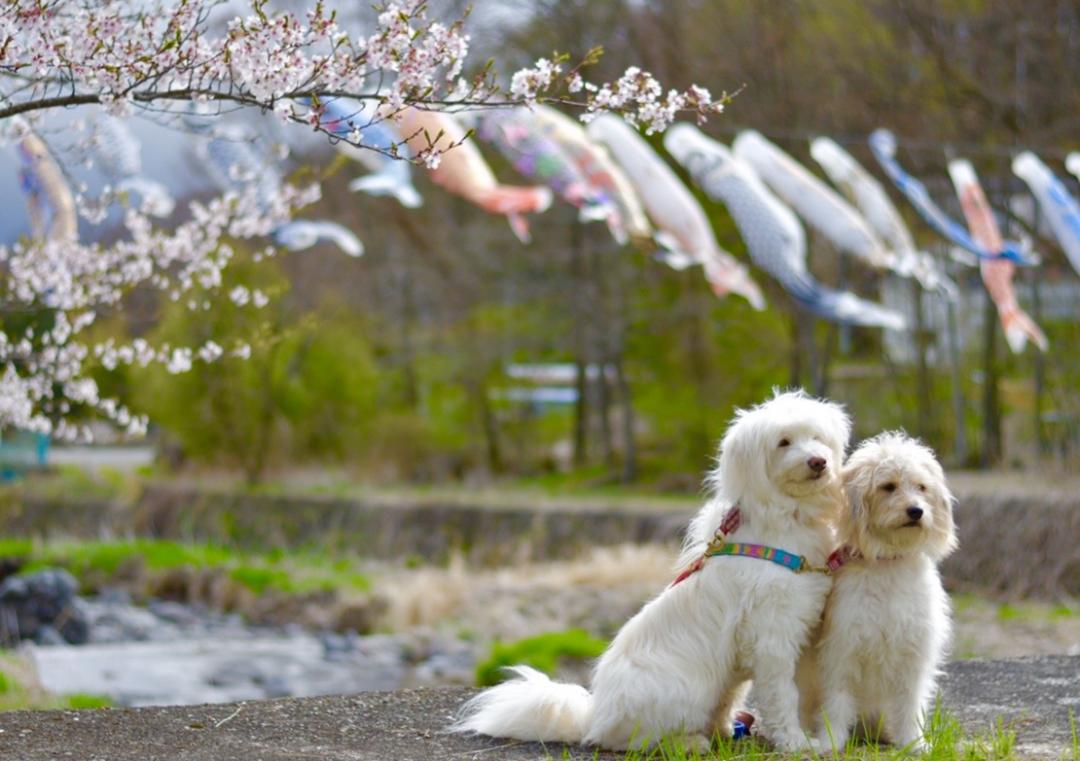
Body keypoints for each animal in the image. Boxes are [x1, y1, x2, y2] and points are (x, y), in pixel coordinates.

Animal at [455, 388, 851, 751]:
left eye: (817, 438)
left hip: (721, 685)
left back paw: (723, 730)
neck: (790, 521)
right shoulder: (773, 637)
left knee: (721, 705)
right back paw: (690, 743)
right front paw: (797, 742)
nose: (818, 461)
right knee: (638, 740)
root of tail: (593, 717)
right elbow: (783, 696)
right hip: (683, 692)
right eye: (783, 443)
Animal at [812, 429, 959, 751]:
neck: (889, 563)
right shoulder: (842, 650)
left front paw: (912, 743)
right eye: (888, 486)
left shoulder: (912, 654)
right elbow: (837, 700)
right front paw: (831, 741)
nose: (916, 511)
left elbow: (909, 704)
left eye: (921, 487)